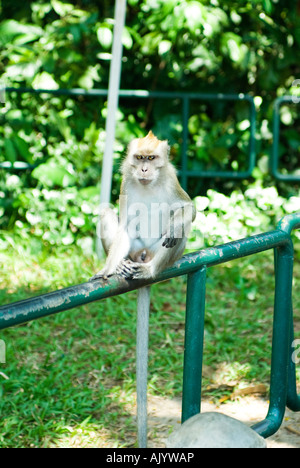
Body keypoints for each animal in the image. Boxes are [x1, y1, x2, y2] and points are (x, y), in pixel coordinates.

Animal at [90, 131, 196, 446]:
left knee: (177, 231)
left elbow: (189, 209)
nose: (145, 169)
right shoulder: (126, 180)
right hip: (136, 249)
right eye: (139, 158)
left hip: (157, 253)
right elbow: (125, 225)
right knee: (107, 213)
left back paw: (151, 269)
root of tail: (143, 258)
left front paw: (178, 222)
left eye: (151, 158)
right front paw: (107, 269)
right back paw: (122, 265)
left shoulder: (172, 178)